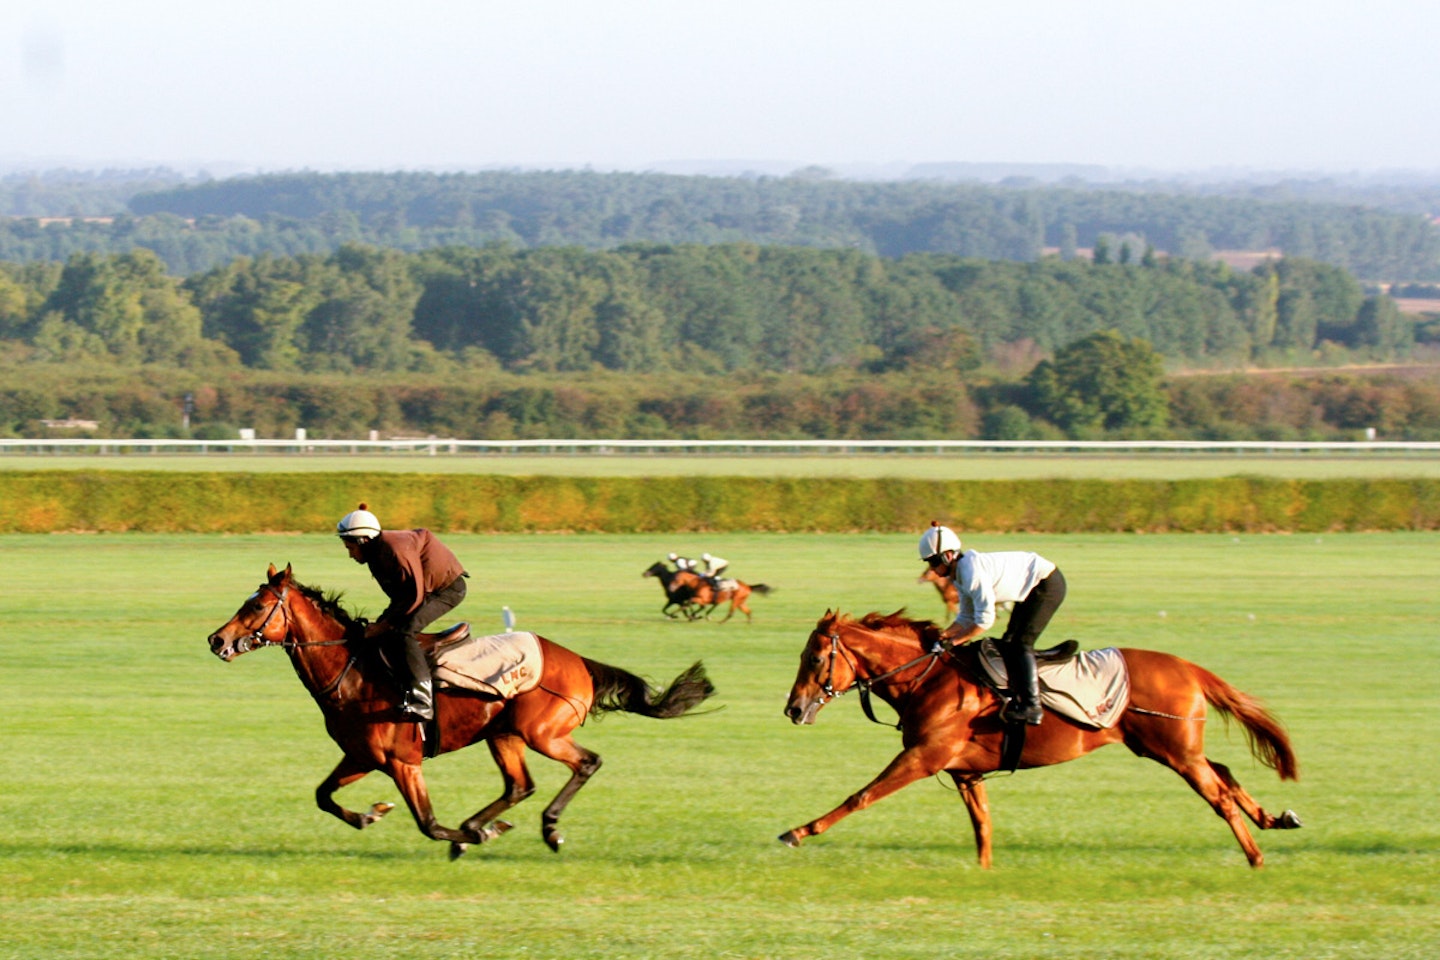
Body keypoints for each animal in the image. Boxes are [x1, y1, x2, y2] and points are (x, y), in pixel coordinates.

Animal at [208, 558, 714, 857]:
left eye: (257, 605)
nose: (217, 639)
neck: (352, 672)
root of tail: (577, 660)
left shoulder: (402, 761)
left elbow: (429, 823)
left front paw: (471, 836)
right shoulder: (362, 756)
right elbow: (323, 796)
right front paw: (370, 814)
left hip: (542, 733)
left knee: (586, 763)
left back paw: (546, 828)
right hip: (504, 735)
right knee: (520, 786)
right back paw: (486, 822)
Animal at [783, 616, 1301, 869]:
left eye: (814, 658)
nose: (793, 708)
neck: (927, 679)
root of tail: (1190, 667)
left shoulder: (923, 757)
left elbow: (861, 795)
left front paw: (799, 831)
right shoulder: (964, 770)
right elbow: (983, 824)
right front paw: (985, 869)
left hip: (1175, 752)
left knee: (1218, 796)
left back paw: (1255, 857)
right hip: (1169, 747)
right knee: (1225, 773)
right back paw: (1275, 818)